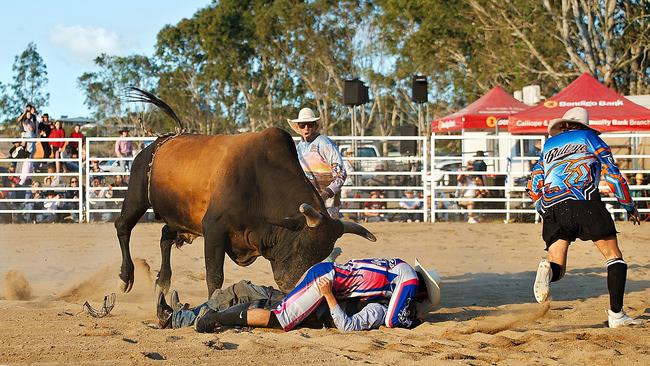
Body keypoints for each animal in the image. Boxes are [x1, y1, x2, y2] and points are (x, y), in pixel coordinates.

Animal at [116, 89, 374, 298]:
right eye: (302, 246)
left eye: (322, 255)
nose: (292, 286)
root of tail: (161, 141)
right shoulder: (213, 229)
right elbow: (214, 276)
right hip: (137, 195)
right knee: (123, 226)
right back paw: (126, 277)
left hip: (178, 216)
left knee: (165, 237)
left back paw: (162, 282)